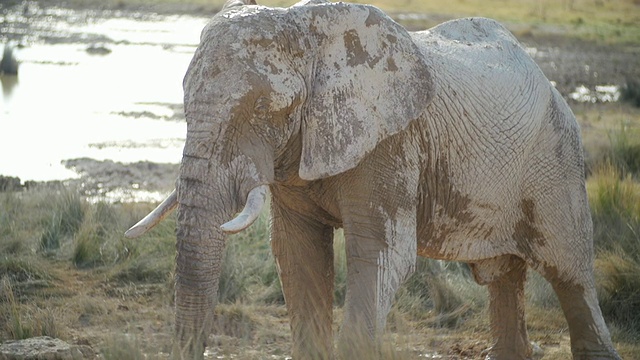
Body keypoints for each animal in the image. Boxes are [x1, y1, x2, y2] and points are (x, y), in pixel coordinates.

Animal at [125, 0, 620, 360]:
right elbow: (298, 253)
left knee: (570, 274)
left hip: (556, 160)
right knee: (504, 276)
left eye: (269, 109)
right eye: (184, 97)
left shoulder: (391, 142)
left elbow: (381, 254)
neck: (308, 31)